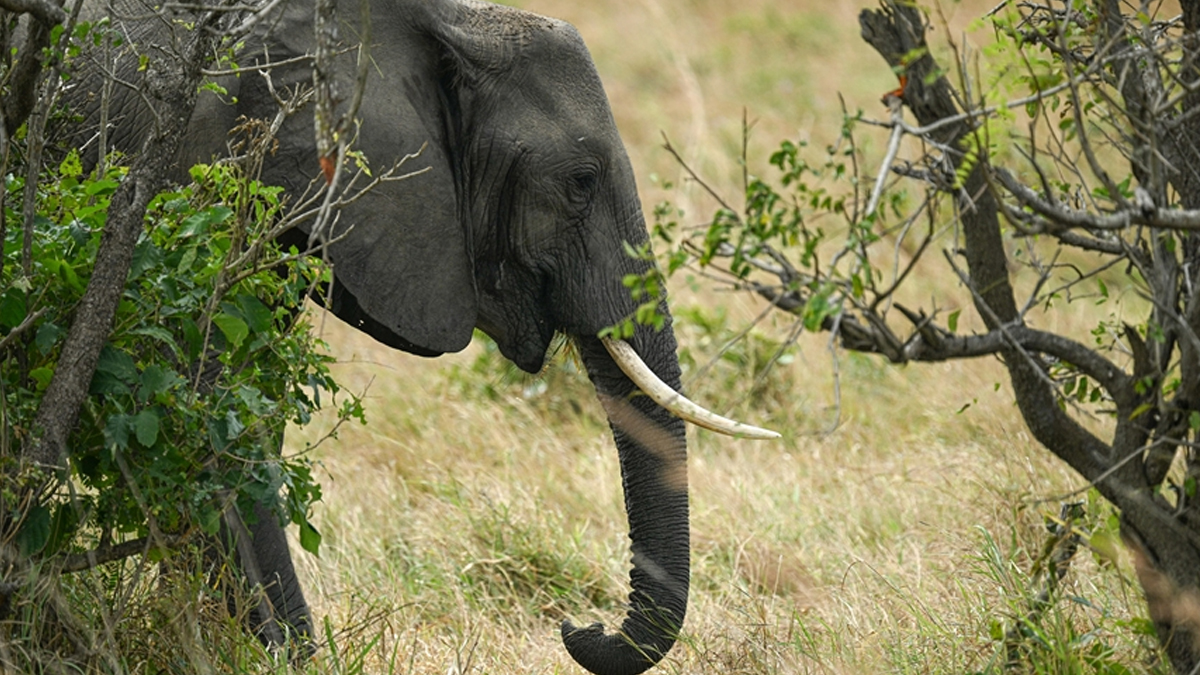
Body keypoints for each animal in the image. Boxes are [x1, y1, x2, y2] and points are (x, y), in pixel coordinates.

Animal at [60, 1, 777, 672]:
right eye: (580, 182)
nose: (579, 624)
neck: (447, 21)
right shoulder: (196, 171)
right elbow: (205, 406)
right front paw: (283, 656)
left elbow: (246, 405)